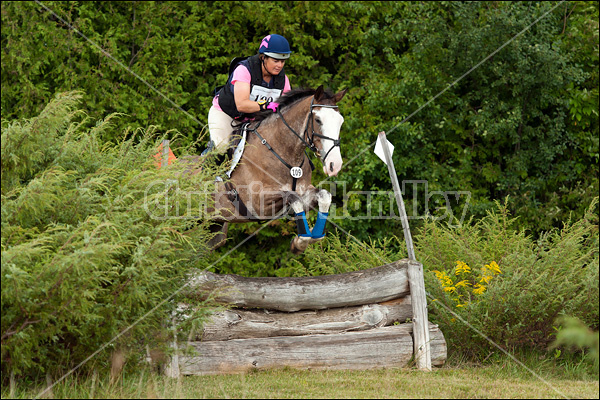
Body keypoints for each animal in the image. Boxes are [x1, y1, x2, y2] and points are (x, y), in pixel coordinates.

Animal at [206, 85, 346, 255]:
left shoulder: (304, 192)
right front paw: (301, 241)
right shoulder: (258, 204)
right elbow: (293, 197)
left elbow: (324, 196)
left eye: (340, 121)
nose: (335, 164)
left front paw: (306, 239)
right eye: (318, 120)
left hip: (216, 228)